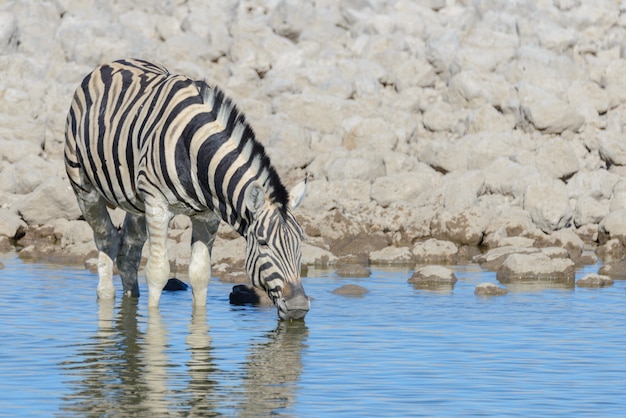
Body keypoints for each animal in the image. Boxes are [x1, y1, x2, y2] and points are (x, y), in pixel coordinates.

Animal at [64, 58, 310, 320]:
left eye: (300, 242)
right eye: (263, 243)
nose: (298, 306)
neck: (197, 153)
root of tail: (114, 62)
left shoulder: (207, 216)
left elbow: (200, 275)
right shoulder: (157, 205)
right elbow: (158, 272)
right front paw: (153, 327)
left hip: (136, 202)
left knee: (129, 251)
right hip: (84, 187)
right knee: (106, 238)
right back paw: (106, 297)